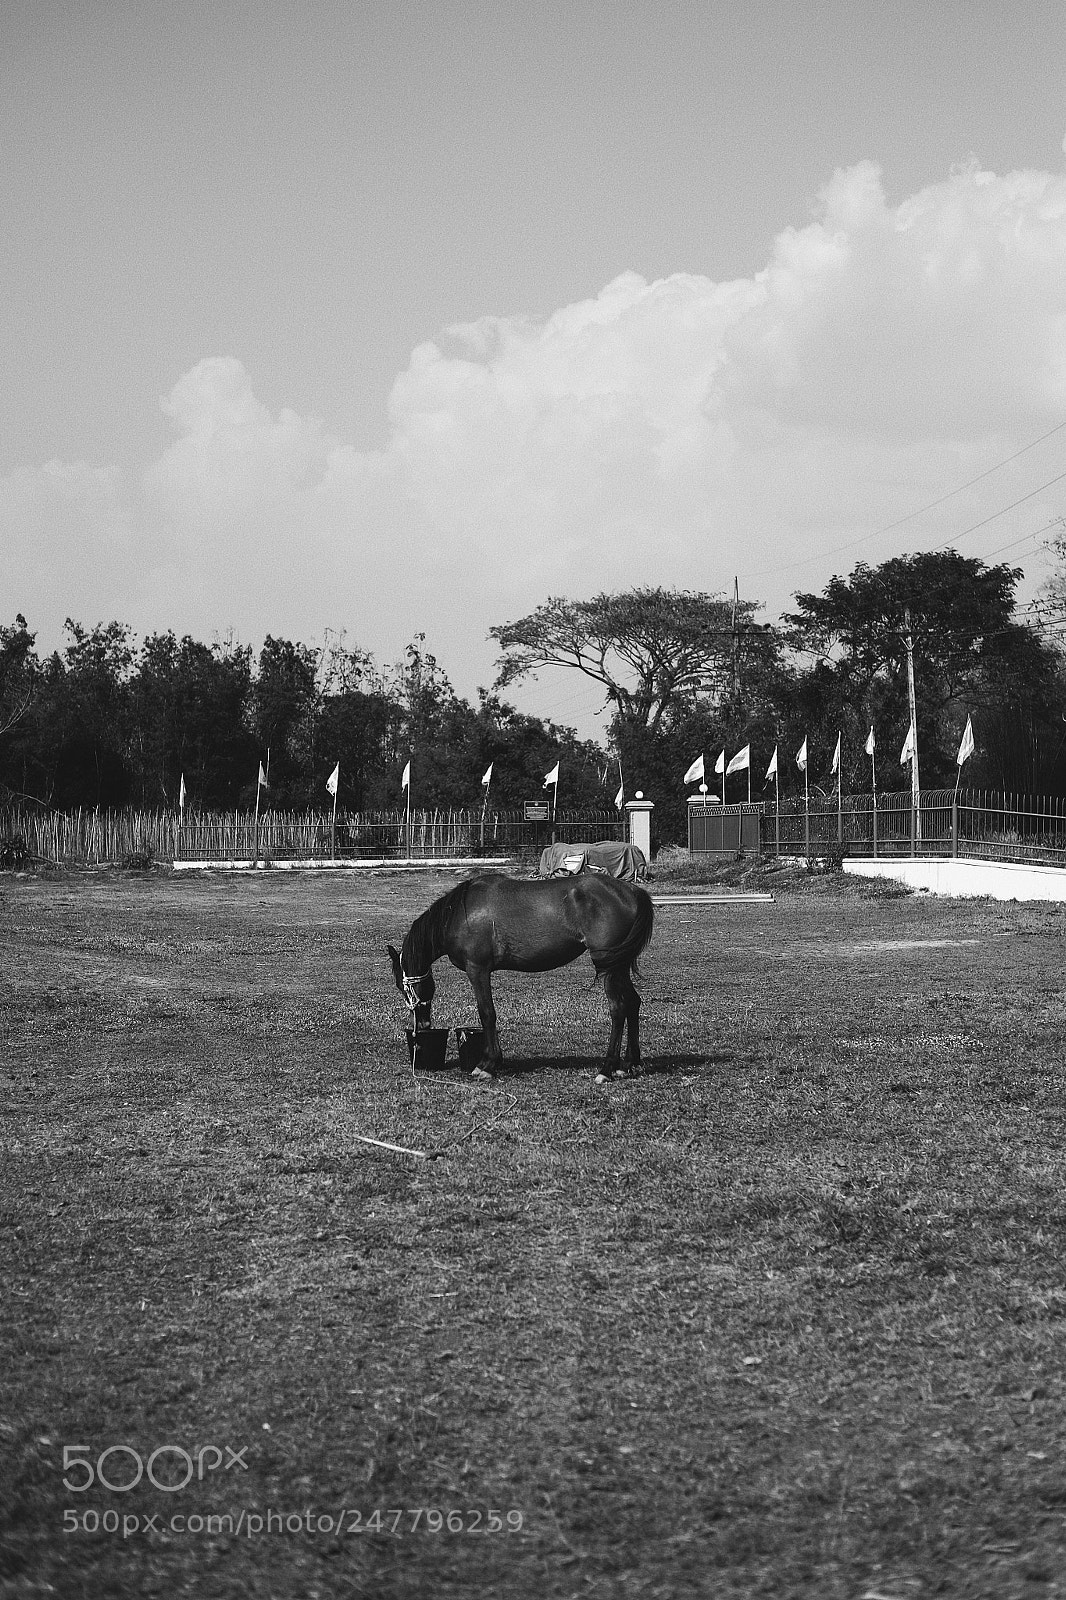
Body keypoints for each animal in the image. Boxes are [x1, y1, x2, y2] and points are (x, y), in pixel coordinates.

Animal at [387, 872, 654, 1082]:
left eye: (402, 986)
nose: (422, 1025)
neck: (459, 914)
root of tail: (632, 891)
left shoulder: (478, 970)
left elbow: (487, 1014)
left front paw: (488, 1065)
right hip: (620, 965)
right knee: (633, 1002)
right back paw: (629, 1064)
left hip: (610, 966)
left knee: (618, 1008)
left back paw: (607, 1069)